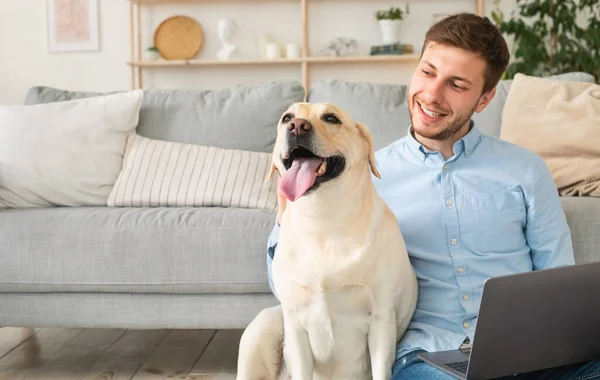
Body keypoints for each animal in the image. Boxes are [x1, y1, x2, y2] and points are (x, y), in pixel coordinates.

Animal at [237, 101, 414, 380]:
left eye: (331, 118)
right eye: (287, 117)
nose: (297, 127)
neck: (324, 220)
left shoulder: (382, 320)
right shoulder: (295, 324)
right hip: (262, 328)